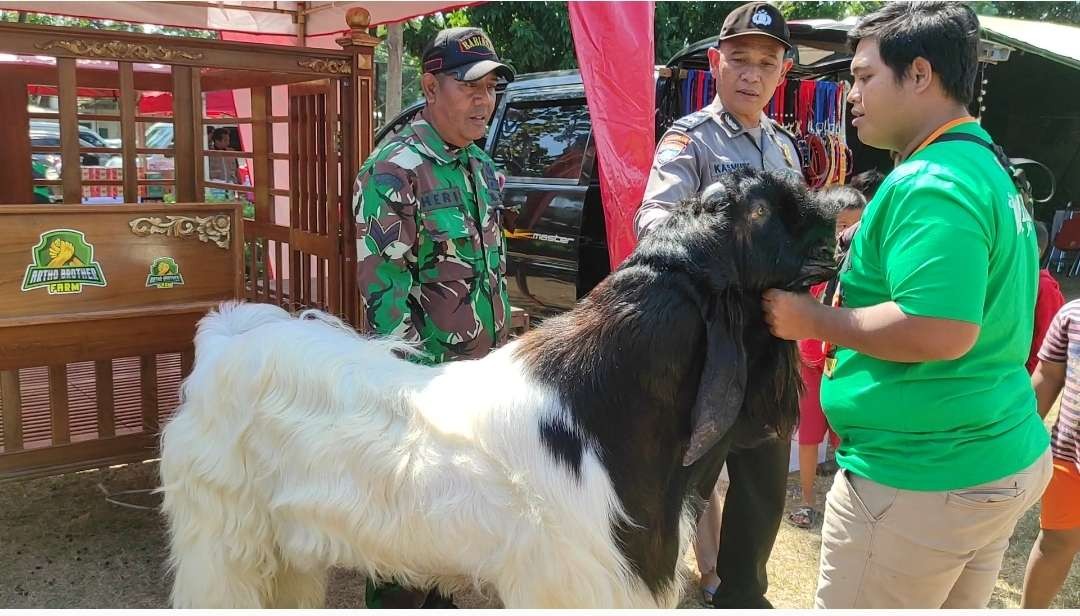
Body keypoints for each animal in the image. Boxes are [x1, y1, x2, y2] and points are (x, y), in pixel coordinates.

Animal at [157, 166, 833, 605]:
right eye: (766, 212)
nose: (840, 209)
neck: (608, 407)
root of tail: (225, 340)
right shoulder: (572, 584)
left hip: (286, 551)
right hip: (222, 540)